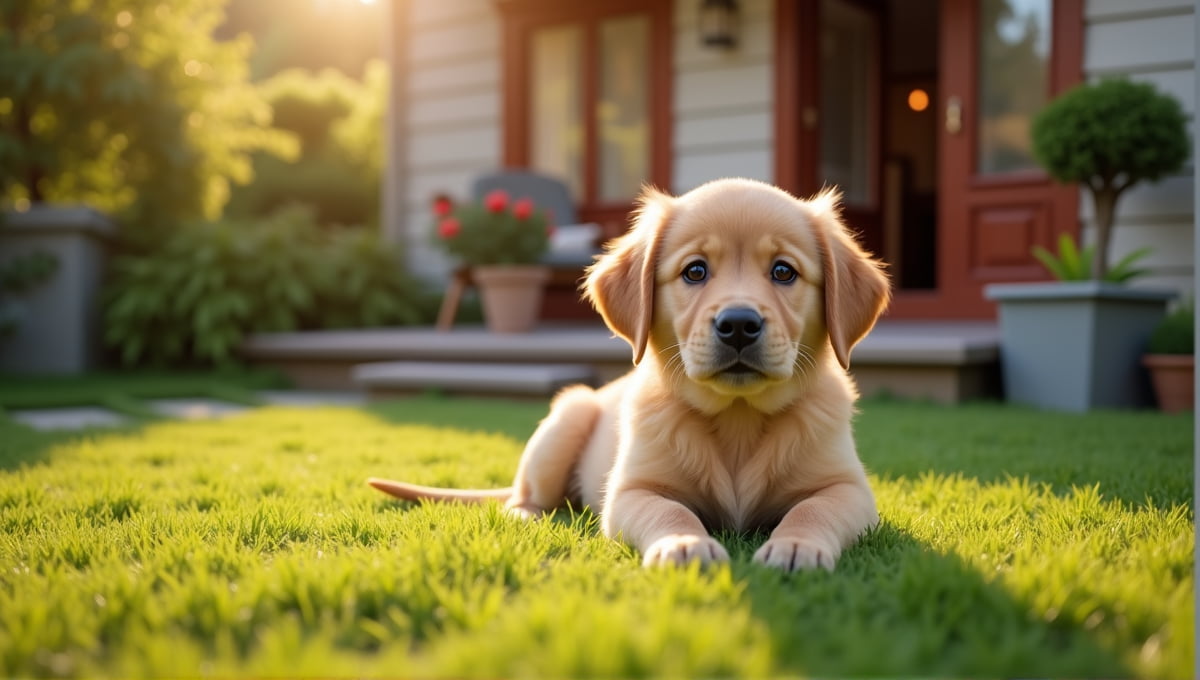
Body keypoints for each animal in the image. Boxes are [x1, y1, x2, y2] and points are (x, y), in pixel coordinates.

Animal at [372, 177, 892, 568]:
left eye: (784, 272)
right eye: (695, 271)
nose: (739, 324)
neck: (737, 417)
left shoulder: (850, 489)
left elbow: (813, 509)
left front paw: (795, 545)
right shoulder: (630, 491)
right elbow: (669, 512)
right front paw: (685, 544)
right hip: (565, 421)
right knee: (525, 494)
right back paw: (527, 516)